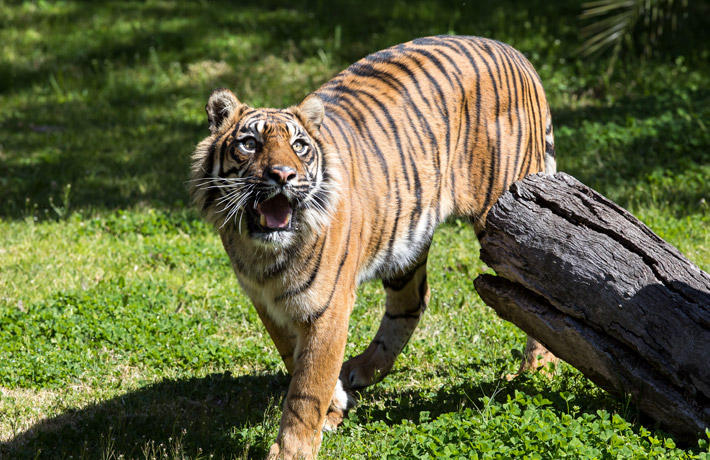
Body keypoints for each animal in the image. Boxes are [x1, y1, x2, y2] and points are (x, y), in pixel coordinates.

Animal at [190, 35, 557, 460]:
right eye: (249, 144)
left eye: (299, 146)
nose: (283, 175)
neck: (263, 251)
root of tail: (513, 51)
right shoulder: (267, 302)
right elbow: (294, 359)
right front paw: (336, 405)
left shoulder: (328, 306)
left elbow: (307, 387)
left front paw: (293, 449)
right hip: (407, 241)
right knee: (412, 302)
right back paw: (362, 369)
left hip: (508, 217)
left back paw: (537, 371)